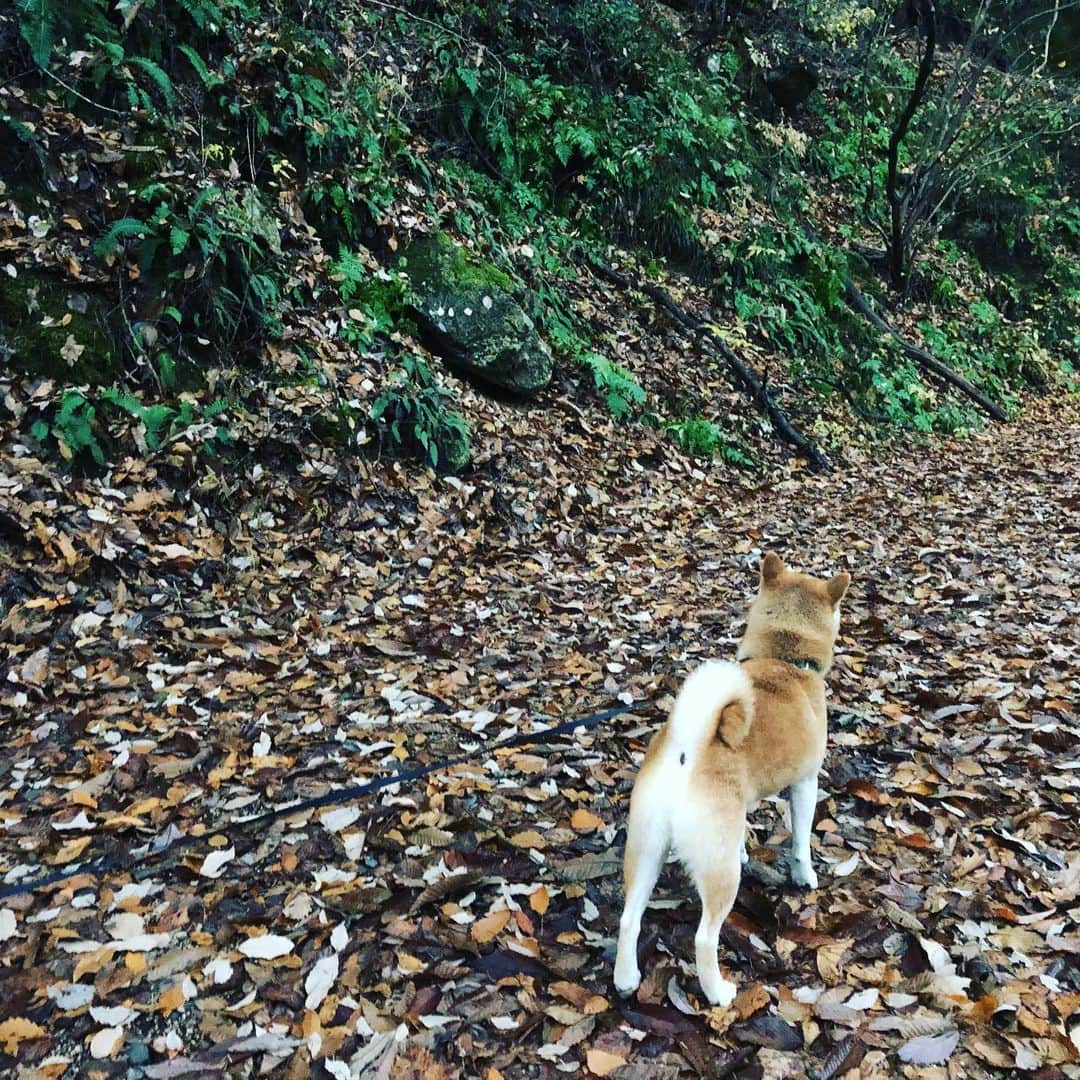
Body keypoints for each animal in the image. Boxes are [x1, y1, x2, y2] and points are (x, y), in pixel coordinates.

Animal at [617, 552, 851, 1006]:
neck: (784, 659)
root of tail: (688, 749)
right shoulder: (805, 783)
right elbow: (800, 842)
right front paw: (805, 877)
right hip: (716, 873)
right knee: (704, 938)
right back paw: (718, 991)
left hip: (647, 849)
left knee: (628, 919)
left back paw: (625, 977)